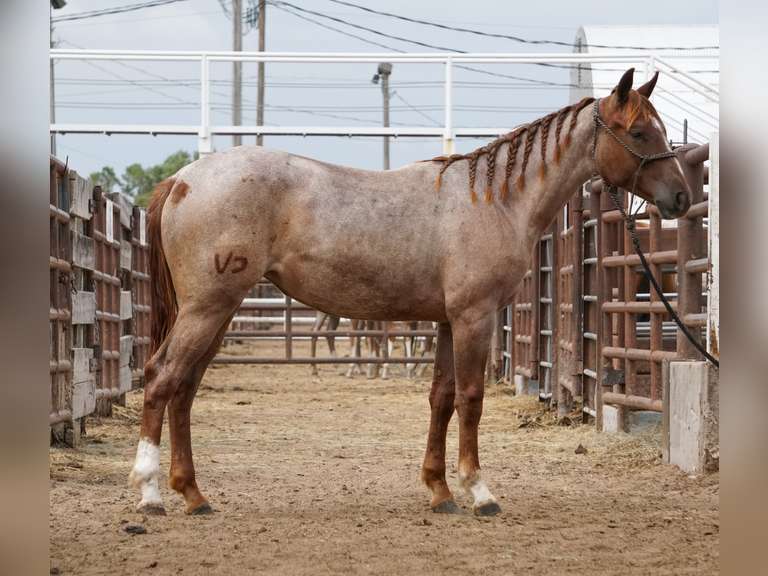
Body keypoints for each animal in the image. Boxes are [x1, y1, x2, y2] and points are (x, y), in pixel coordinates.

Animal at [129, 68, 690, 517]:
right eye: (639, 131)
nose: (682, 197)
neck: (494, 200)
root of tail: (183, 180)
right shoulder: (473, 318)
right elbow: (469, 399)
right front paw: (479, 491)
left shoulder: (444, 321)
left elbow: (440, 398)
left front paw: (439, 491)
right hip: (207, 309)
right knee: (161, 379)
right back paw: (150, 494)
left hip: (218, 313)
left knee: (184, 389)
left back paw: (193, 495)